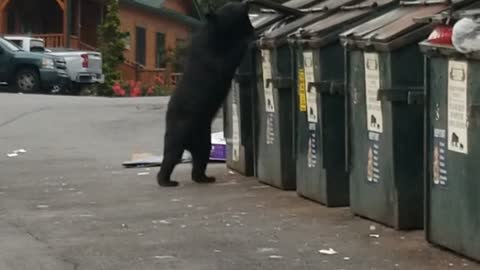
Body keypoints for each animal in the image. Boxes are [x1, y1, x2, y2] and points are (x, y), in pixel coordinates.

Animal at [157, 1, 255, 187]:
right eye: (231, 6)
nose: (246, 3)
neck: (215, 34)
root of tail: (190, 143)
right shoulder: (210, 56)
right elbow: (227, 60)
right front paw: (248, 38)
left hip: (203, 138)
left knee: (201, 156)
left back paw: (204, 177)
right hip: (179, 130)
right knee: (172, 154)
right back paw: (165, 180)